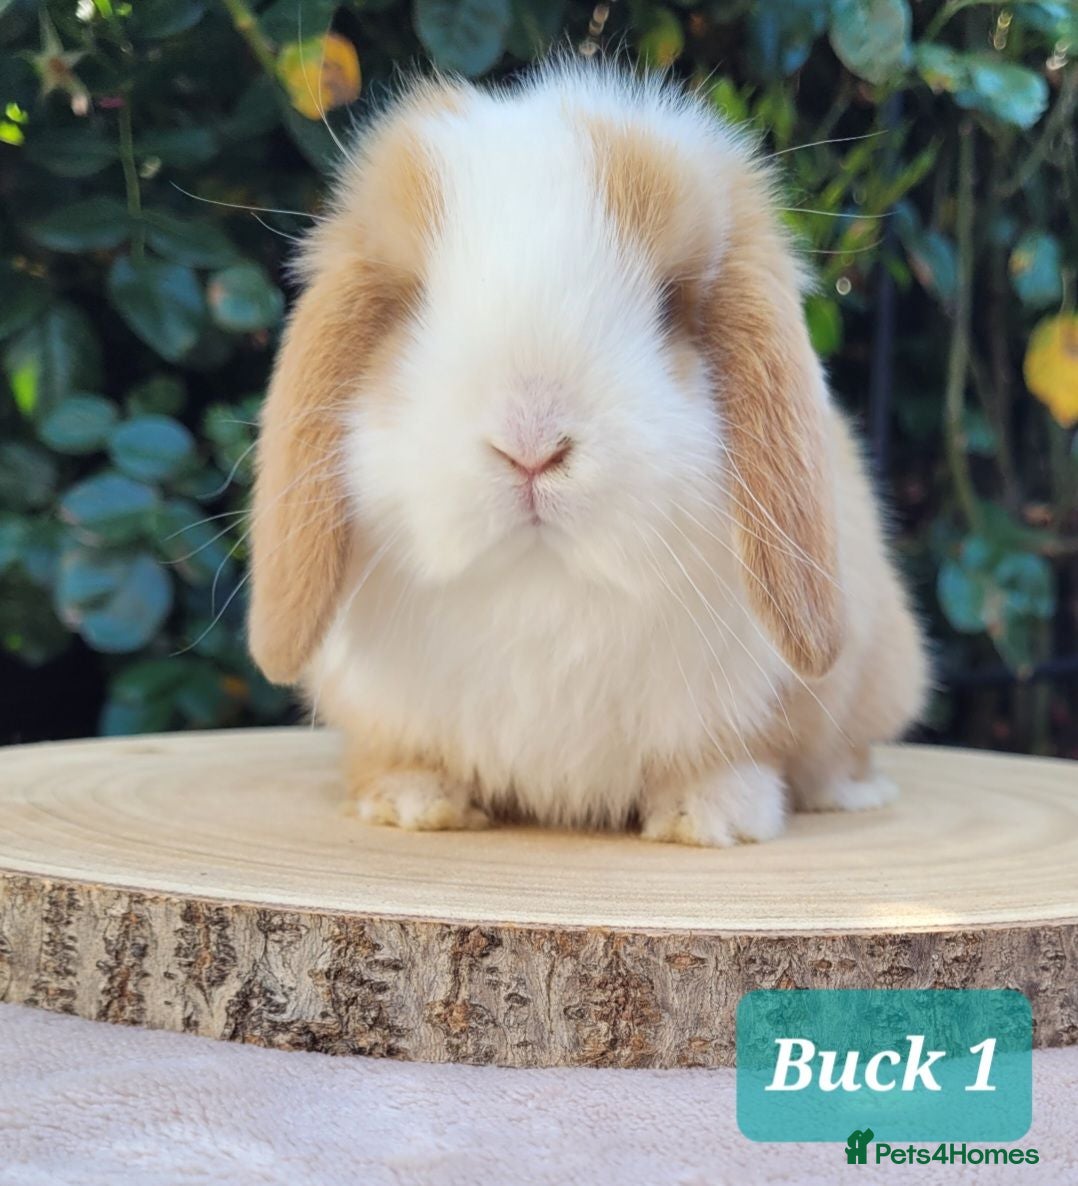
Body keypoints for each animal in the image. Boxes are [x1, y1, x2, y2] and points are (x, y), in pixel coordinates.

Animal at [247, 60, 929, 847]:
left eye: (670, 302)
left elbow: (733, 757)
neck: (543, 587)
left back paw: (852, 792)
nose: (531, 445)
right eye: (412, 301)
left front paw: (710, 817)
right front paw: (408, 802)